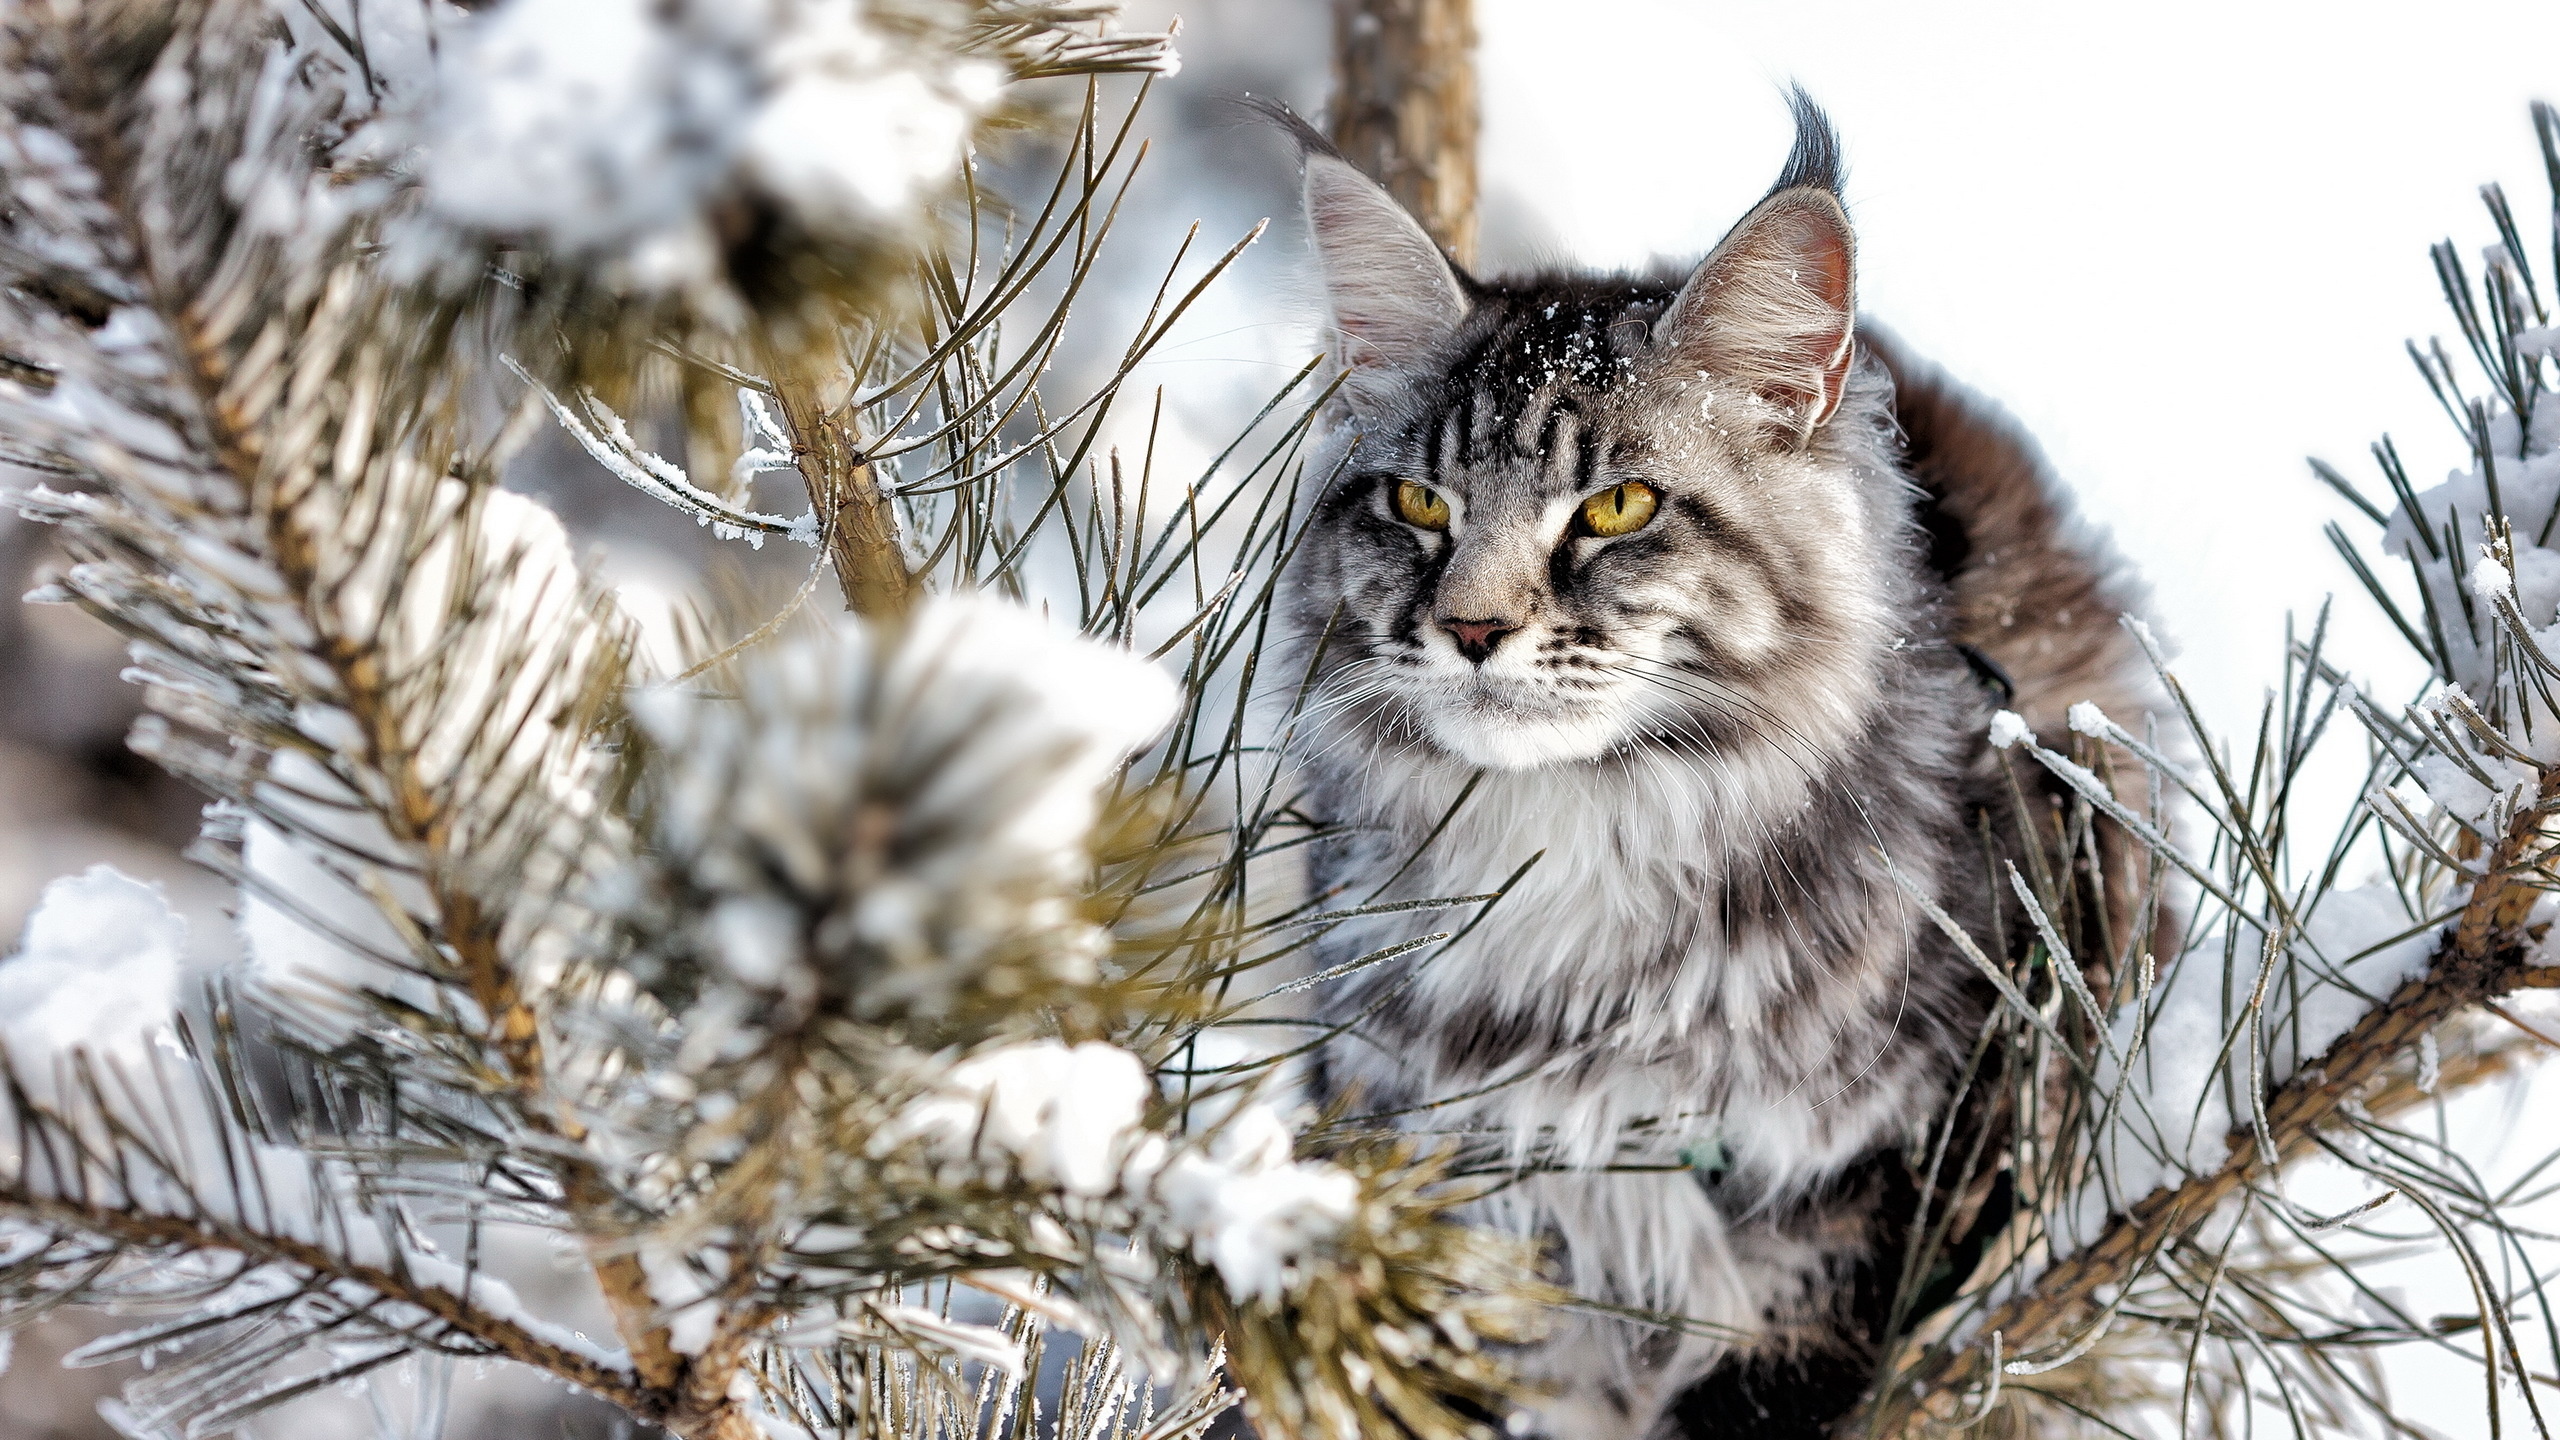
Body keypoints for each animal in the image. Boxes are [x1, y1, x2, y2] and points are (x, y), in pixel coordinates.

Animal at [1269, 92, 2150, 1434]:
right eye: (1419, 505)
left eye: (1617, 508)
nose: (1469, 628)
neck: (1576, 861)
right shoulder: (1434, 1166)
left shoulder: (1925, 1146)